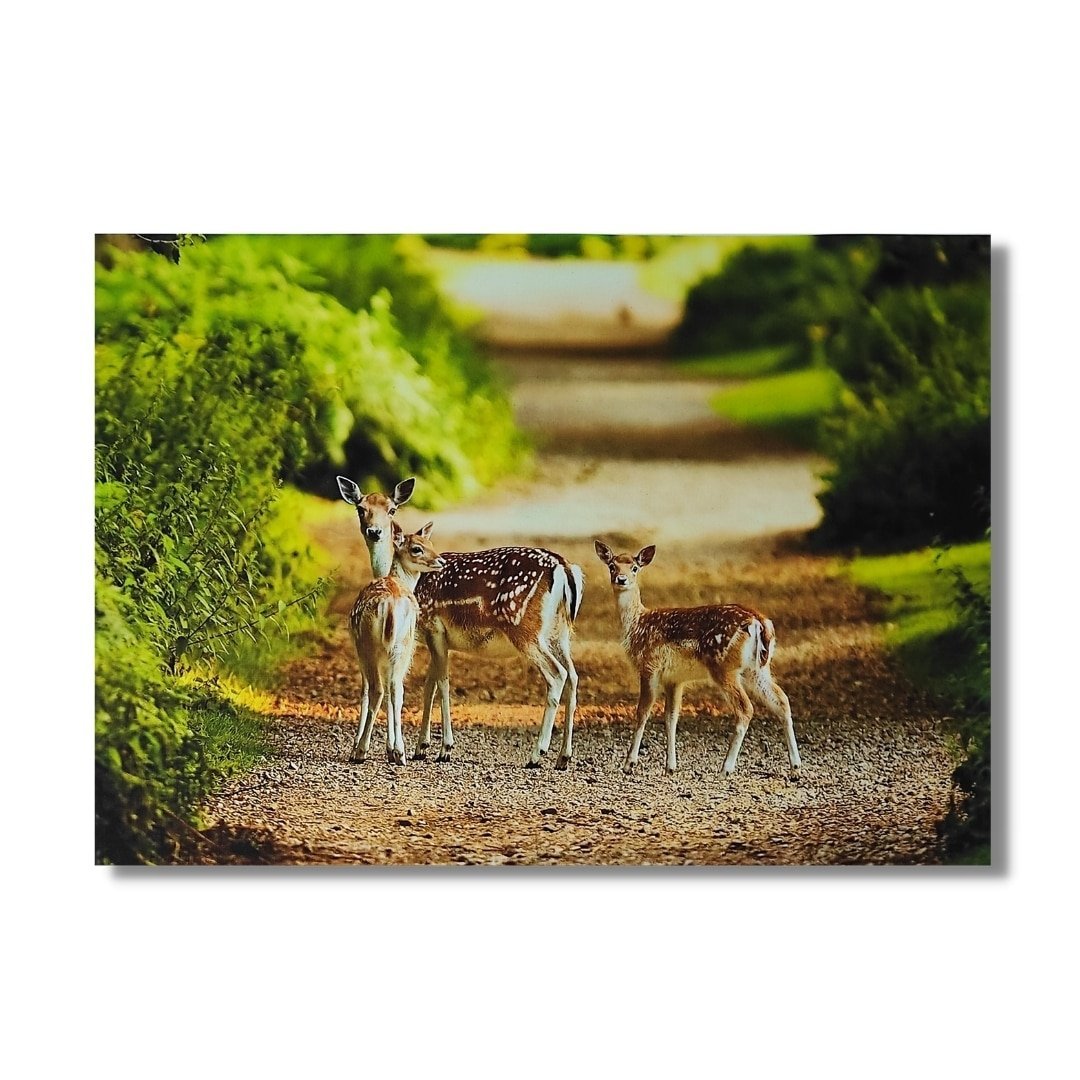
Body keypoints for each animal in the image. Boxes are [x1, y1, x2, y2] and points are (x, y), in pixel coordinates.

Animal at [348, 521, 445, 764]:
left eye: (430, 543)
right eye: (417, 548)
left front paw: (360, 747)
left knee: (377, 689)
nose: (441, 560)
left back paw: (361, 750)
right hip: (402, 645)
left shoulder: (361, 650)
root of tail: (390, 605)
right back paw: (400, 752)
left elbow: (364, 692)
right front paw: (390, 749)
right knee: (396, 690)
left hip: (369, 645)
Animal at [594, 539, 801, 778]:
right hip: (757, 669)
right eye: (612, 566)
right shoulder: (674, 678)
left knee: (745, 708)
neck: (637, 624)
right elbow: (671, 717)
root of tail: (760, 623)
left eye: (635, 568)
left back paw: (726, 768)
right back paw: (796, 766)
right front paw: (670, 766)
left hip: (723, 666)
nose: (621, 579)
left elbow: (642, 712)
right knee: (782, 701)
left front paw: (629, 763)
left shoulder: (649, 666)